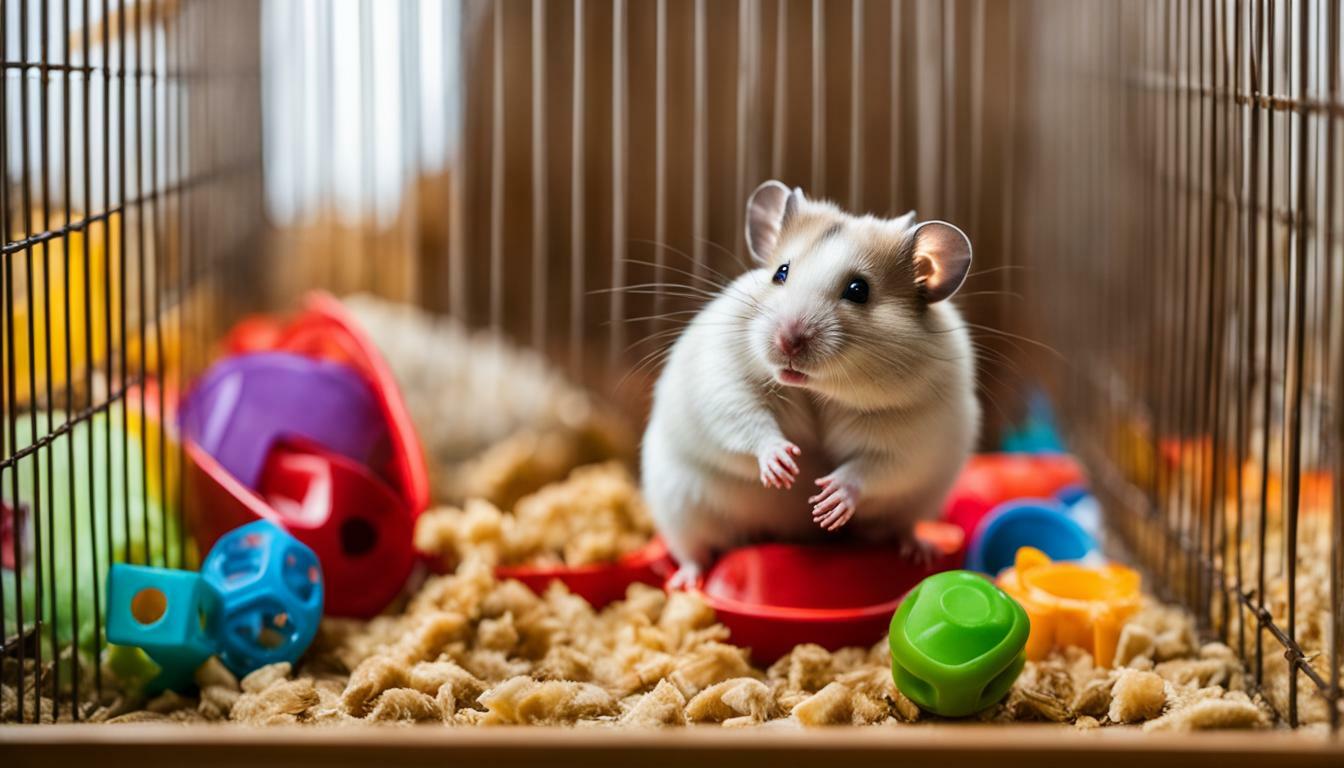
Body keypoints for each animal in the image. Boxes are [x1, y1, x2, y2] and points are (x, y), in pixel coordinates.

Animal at [641, 180, 980, 585]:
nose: (787, 341)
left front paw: (826, 502)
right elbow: (747, 424)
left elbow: (871, 468)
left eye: (858, 290)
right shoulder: (724, 383)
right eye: (781, 272)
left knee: (900, 525)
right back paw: (686, 580)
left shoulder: (907, 438)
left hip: (914, 504)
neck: (816, 392)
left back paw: (919, 551)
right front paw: (785, 468)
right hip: (680, 507)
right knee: (693, 549)